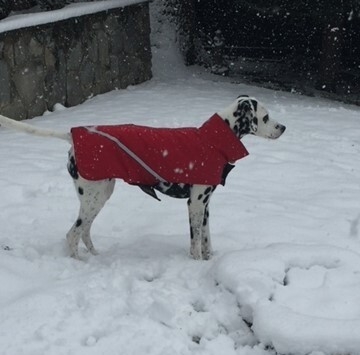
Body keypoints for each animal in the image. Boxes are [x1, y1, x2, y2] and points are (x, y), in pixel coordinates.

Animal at [0, 96, 286, 260]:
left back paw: (94, 255)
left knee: (84, 232)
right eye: (266, 117)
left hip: (99, 197)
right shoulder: (195, 203)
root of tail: (73, 135)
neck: (214, 140)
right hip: (94, 199)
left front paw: (209, 259)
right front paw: (196, 264)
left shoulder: (205, 205)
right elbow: (195, 242)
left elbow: (206, 239)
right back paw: (80, 263)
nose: (283, 127)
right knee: (72, 234)